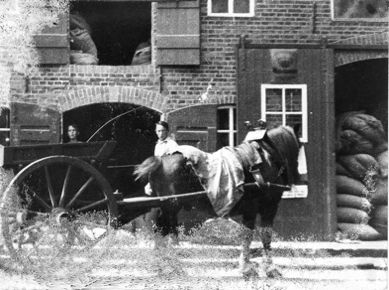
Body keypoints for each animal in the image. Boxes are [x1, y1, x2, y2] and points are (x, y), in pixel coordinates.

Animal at [133, 125, 300, 278]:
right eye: (298, 147)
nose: (297, 177)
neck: (267, 159)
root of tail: (160, 161)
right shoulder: (267, 208)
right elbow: (263, 236)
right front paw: (267, 268)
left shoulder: (251, 211)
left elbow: (248, 236)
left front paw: (247, 267)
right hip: (171, 207)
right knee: (164, 230)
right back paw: (169, 264)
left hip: (167, 207)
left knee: (161, 231)